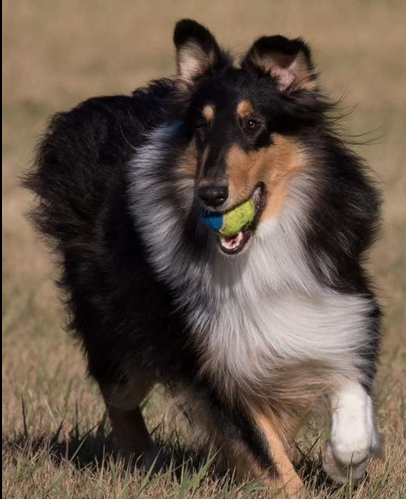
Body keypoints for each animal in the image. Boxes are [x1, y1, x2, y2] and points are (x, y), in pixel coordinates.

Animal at [24, 17, 380, 498]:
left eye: (252, 123)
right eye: (200, 129)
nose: (210, 194)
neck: (261, 248)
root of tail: (101, 110)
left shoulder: (335, 311)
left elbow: (350, 396)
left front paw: (344, 463)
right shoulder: (210, 358)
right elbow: (266, 451)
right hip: (123, 334)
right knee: (118, 397)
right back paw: (147, 462)